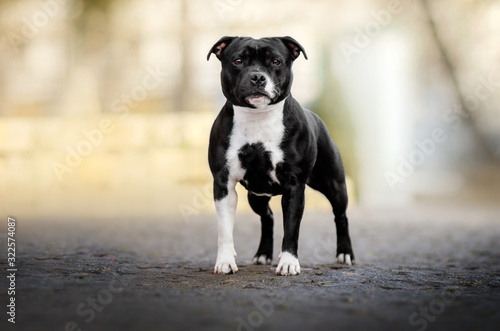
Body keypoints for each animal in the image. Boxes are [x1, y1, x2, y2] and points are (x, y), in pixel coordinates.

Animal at [207, 36, 356, 276]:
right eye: (238, 60)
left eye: (276, 61)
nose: (258, 77)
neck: (257, 118)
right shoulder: (223, 184)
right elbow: (225, 229)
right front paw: (225, 262)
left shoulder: (294, 186)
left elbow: (292, 229)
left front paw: (288, 263)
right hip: (256, 196)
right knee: (267, 217)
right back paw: (263, 254)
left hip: (334, 184)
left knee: (340, 216)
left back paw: (345, 253)